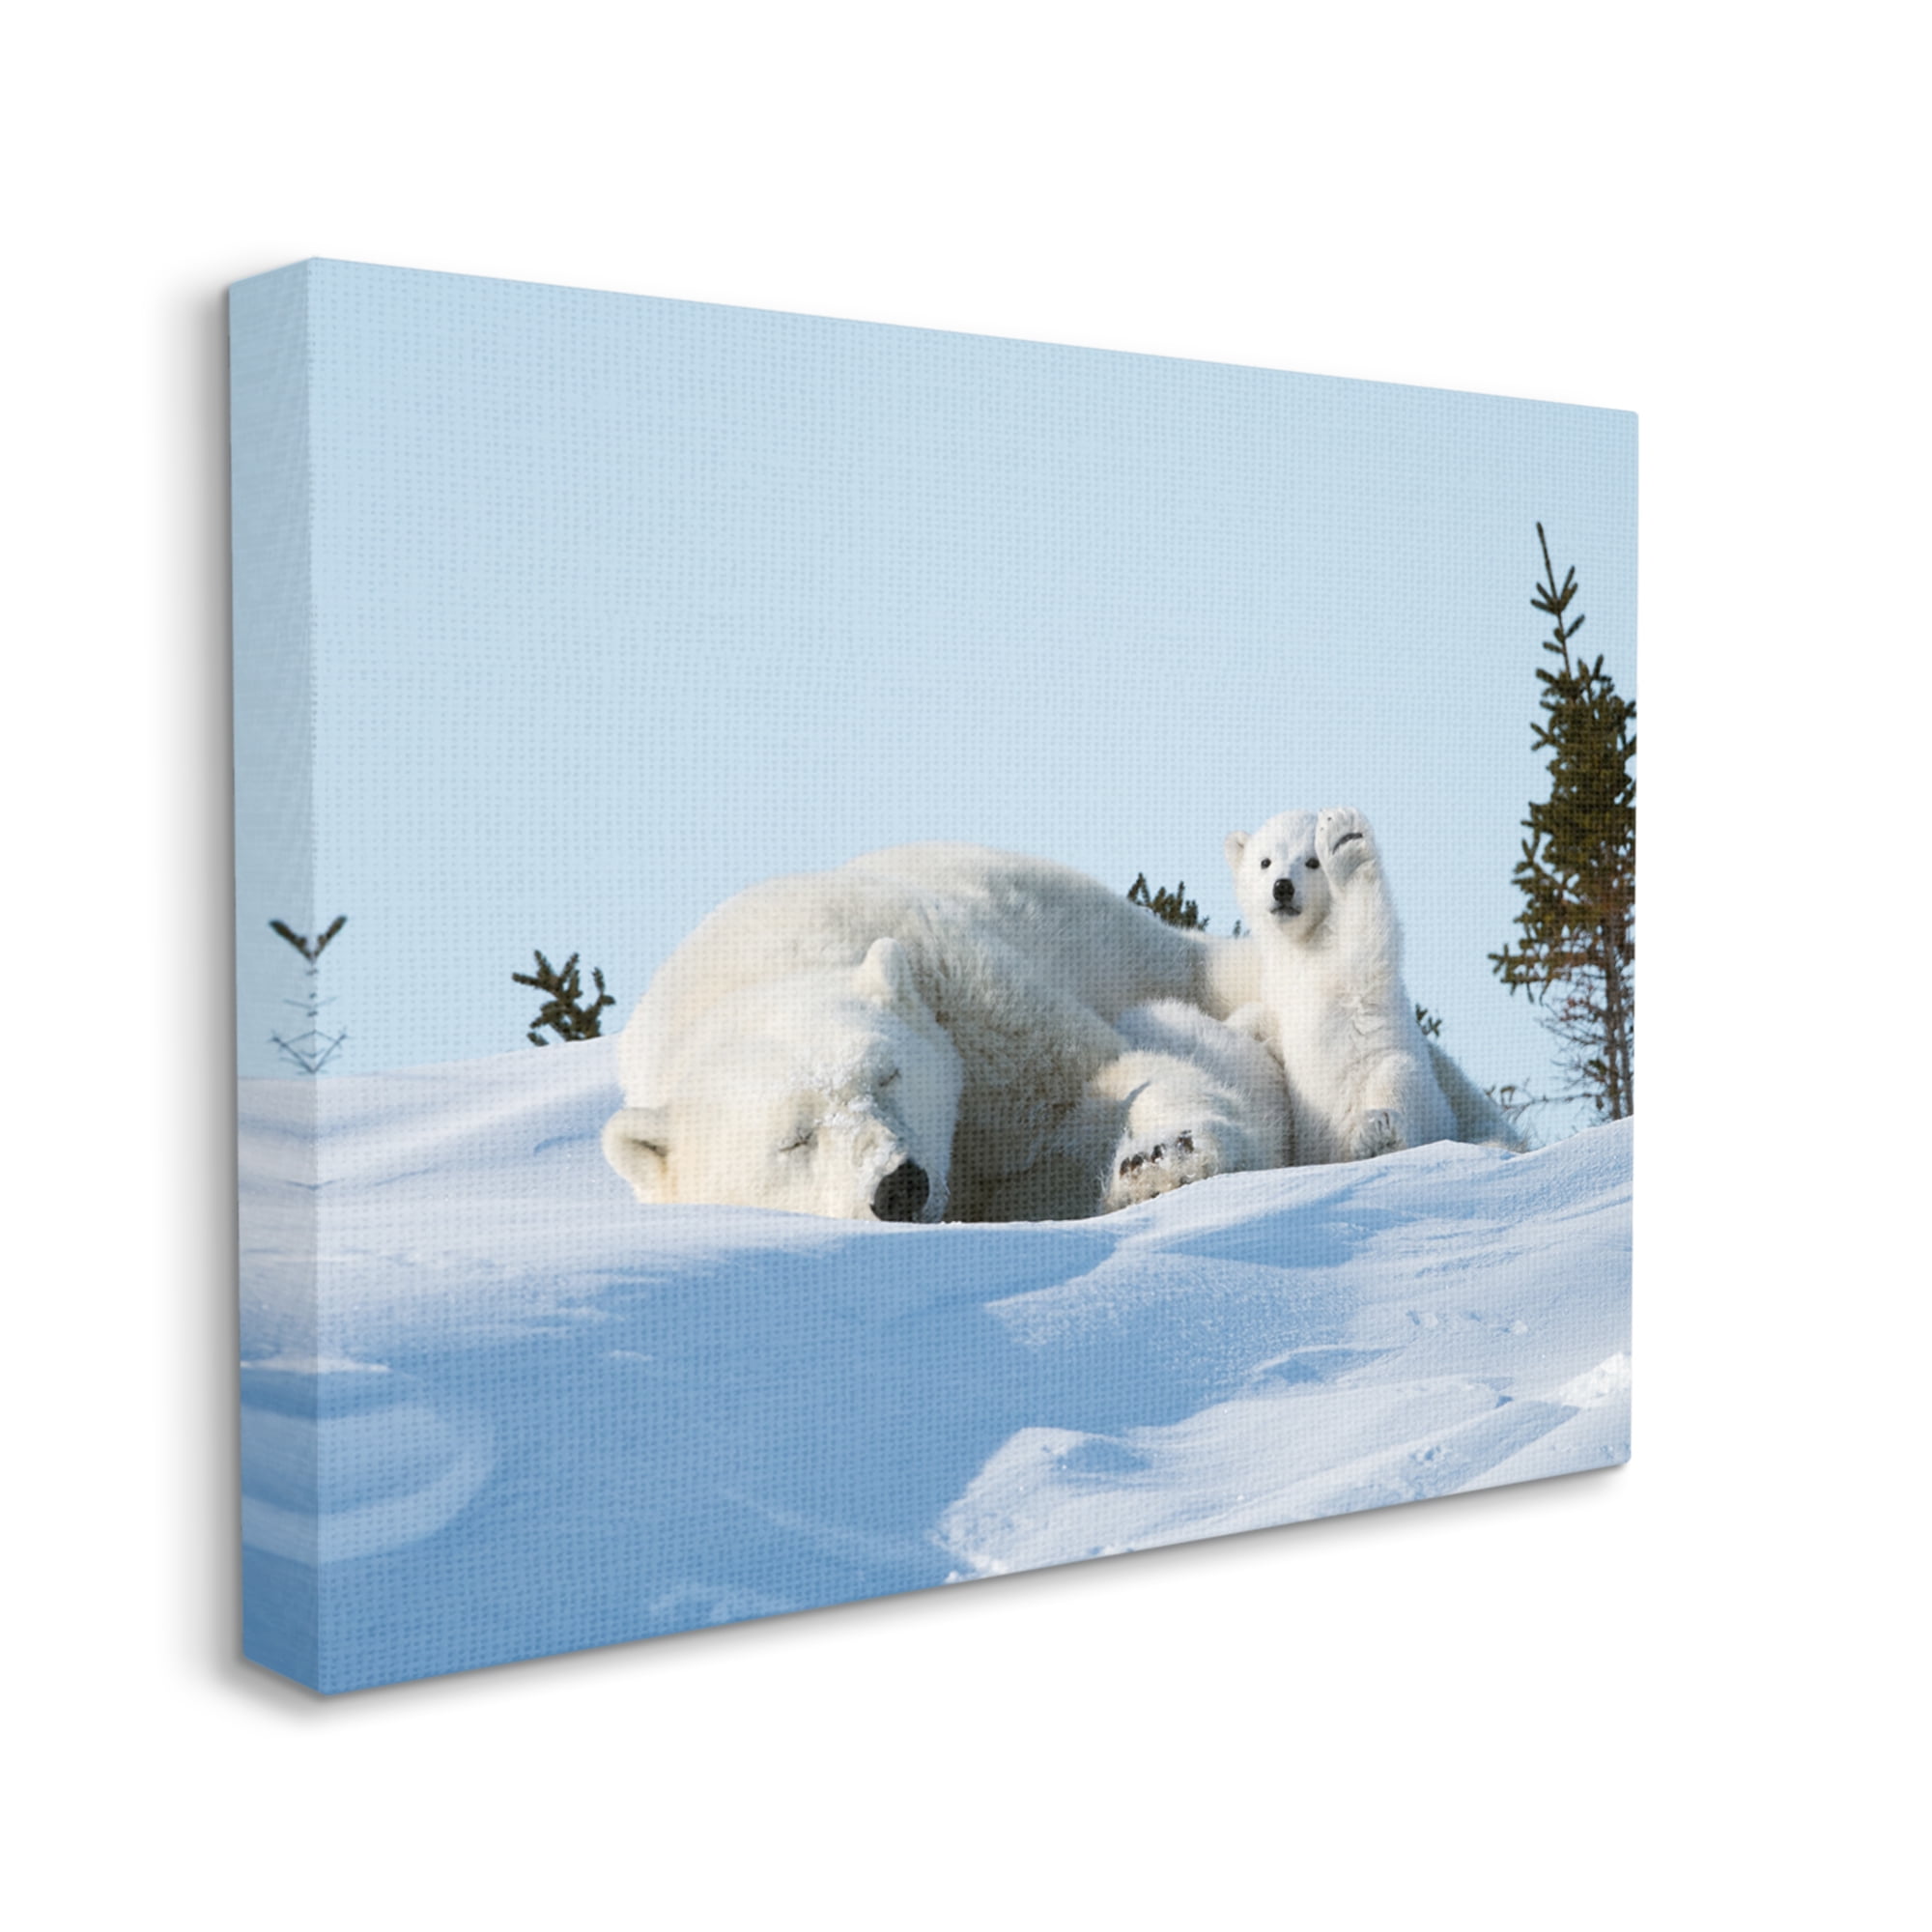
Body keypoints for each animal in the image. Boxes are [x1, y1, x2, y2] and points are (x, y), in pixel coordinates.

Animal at [602, 844, 1284, 1223]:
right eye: (794, 1140)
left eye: (888, 1074)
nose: (898, 1186)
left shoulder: (968, 1008)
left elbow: (1102, 1078)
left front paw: (1166, 1157)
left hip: (1129, 943)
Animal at [1225, 806, 1524, 1165]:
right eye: (1265, 861)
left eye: (1312, 861)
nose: (1282, 888)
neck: (1305, 942)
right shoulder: (1278, 983)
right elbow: (1267, 1018)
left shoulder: (1349, 967)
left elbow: (1365, 936)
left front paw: (1344, 839)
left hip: (1401, 1084)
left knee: (1396, 1083)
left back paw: (1378, 1133)